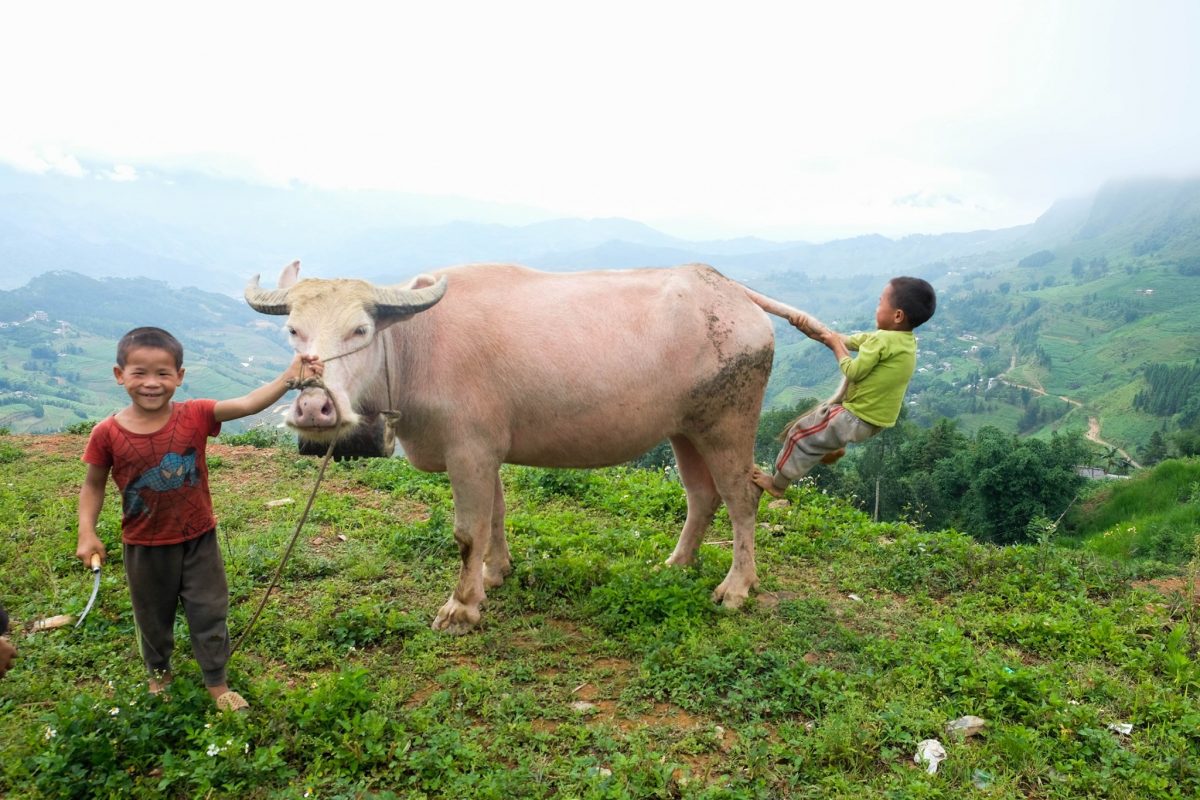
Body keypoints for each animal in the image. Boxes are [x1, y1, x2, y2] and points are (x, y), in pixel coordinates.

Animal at [248, 261, 782, 633]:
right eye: (293, 329)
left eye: (359, 330)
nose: (314, 409)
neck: (416, 348)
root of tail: (731, 291)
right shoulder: (487, 451)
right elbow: (496, 516)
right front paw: (496, 573)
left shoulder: (467, 452)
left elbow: (468, 532)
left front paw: (461, 607)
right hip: (685, 429)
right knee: (701, 496)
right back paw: (676, 564)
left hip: (728, 424)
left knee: (742, 498)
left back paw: (736, 587)